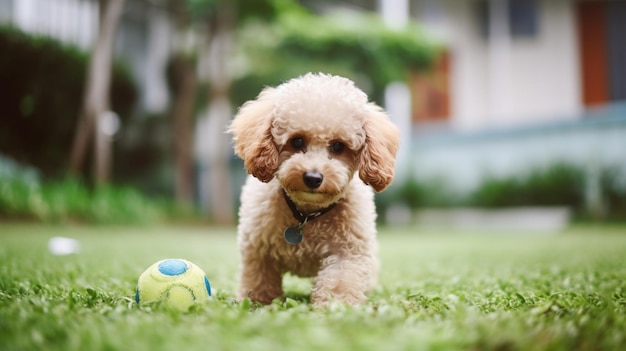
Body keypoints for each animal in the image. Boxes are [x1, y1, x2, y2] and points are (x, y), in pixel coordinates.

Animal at [227, 73, 398, 306]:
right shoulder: (258, 247)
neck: (307, 214)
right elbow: (259, 279)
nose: (313, 178)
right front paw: (257, 301)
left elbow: (340, 280)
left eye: (338, 146)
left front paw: (336, 305)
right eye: (297, 141)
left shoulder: (348, 250)